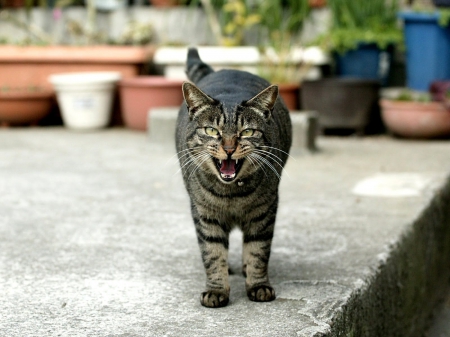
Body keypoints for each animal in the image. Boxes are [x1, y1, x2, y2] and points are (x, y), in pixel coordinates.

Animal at [176, 48, 292, 308]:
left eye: (247, 132)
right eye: (211, 130)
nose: (229, 148)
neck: (232, 195)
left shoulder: (265, 211)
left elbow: (258, 250)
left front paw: (258, 285)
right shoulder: (205, 213)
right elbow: (212, 252)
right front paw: (216, 289)